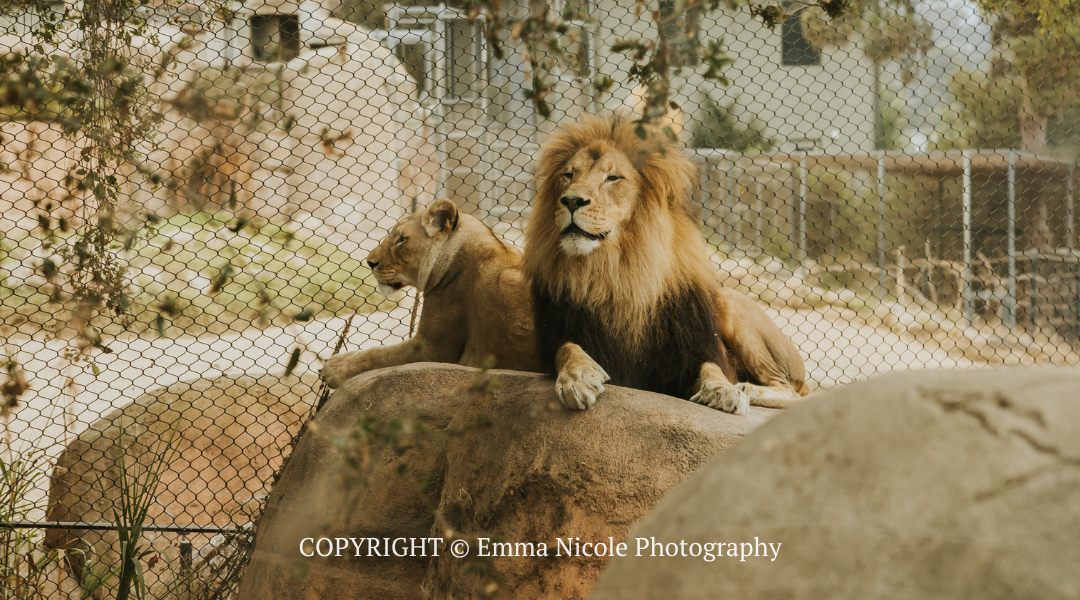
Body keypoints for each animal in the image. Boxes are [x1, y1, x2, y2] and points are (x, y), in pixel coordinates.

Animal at [524, 115, 811, 415]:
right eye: (569, 175)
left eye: (612, 178)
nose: (571, 200)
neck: (614, 272)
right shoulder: (556, 331)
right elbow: (568, 349)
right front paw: (578, 379)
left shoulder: (688, 351)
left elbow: (712, 369)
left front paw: (724, 391)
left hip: (730, 302)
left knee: (791, 391)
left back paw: (746, 388)